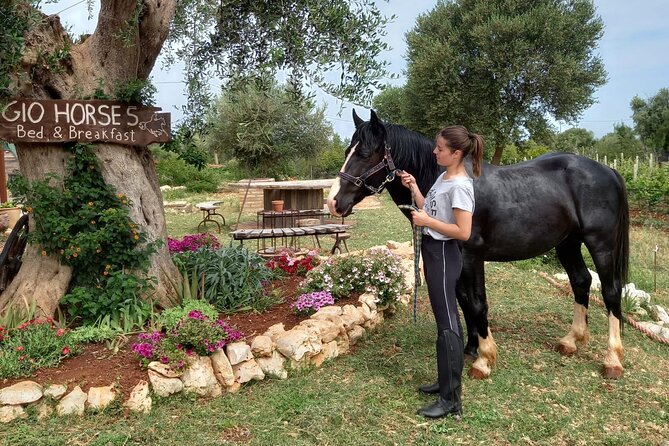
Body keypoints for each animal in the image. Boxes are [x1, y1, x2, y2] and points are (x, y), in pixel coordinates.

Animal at [326, 110, 628, 378]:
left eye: (365, 154)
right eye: (348, 151)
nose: (334, 202)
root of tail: (608, 170)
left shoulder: (472, 256)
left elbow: (478, 302)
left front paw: (484, 359)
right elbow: (463, 299)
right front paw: (472, 347)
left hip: (600, 244)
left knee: (611, 291)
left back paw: (612, 359)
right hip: (567, 243)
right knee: (581, 281)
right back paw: (571, 340)